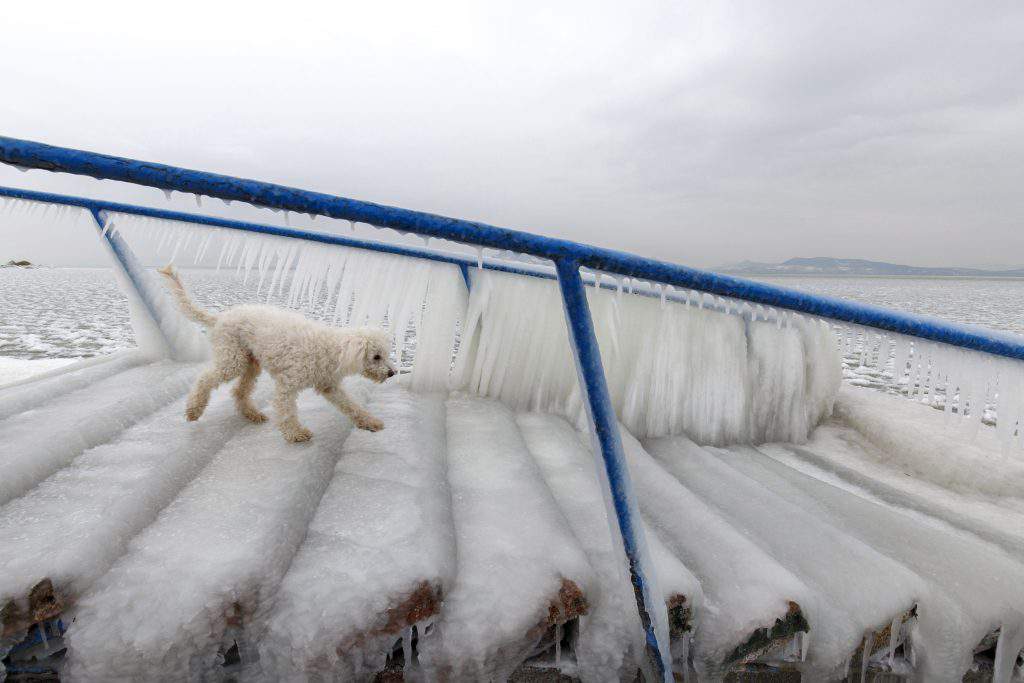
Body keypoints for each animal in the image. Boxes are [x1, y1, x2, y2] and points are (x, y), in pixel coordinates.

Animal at [157, 264, 393, 446]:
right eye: (376, 357)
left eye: (386, 355)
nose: (392, 373)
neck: (330, 350)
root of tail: (221, 318)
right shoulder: (288, 383)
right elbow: (287, 410)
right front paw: (296, 434)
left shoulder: (329, 385)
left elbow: (351, 406)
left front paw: (370, 422)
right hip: (233, 358)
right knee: (205, 379)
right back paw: (194, 410)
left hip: (251, 362)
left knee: (239, 391)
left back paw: (251, 413)